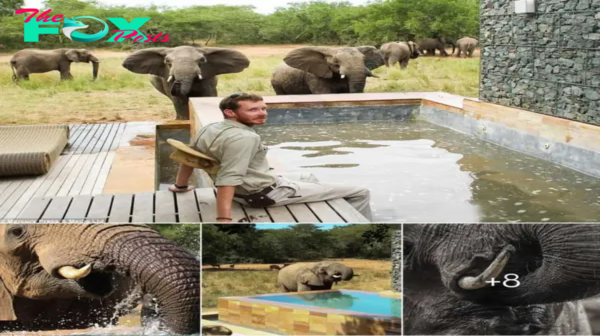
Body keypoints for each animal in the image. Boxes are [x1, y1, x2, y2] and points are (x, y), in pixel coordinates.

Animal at [122, 45, 251, 120]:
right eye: (167, 61)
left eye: (202, 60)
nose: (178, 83)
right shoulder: (167, 78)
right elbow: (179, 101)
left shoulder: (208, 77)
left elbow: (208, 94)